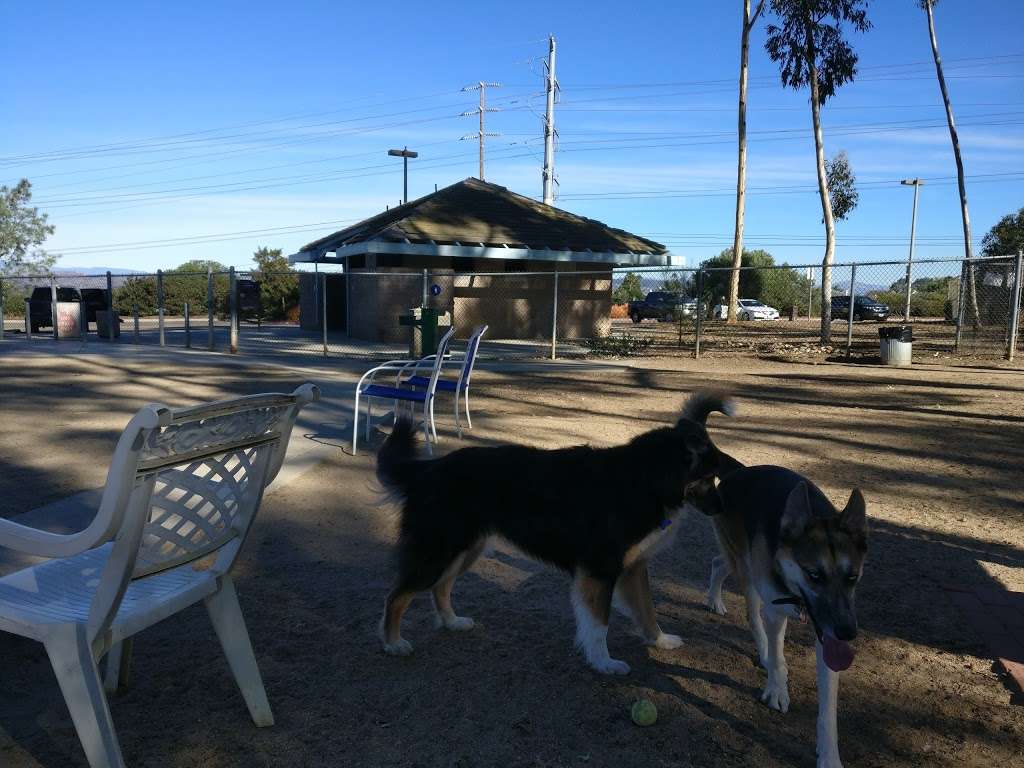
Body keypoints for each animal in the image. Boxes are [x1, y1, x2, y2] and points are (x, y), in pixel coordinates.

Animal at [376, 393, 737, 675]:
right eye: (709, 476)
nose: (723, 508)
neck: (645, 479)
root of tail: (428, 468)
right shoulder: (600, 571)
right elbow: (599, 624)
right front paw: (604, 663)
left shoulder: (633, 568)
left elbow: (647, 609)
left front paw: (660, 641)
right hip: (437, 551)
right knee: (396, 596)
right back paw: (393, 643)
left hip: (465, 550)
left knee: (440, 587)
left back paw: (452, 622)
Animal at [692, 462, 868, 768]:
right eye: (814, 575)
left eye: (852, 577)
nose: (848, 632)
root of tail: (739, 470)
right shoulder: (775, 612)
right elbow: (776, 657)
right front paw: (776, 690)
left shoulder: (827, 635)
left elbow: (828, 709)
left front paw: (829, 756)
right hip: (748, 571)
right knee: (753, 616)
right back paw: (759, 647)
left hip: (738, 561)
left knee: (718, 563)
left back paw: (715, 599)